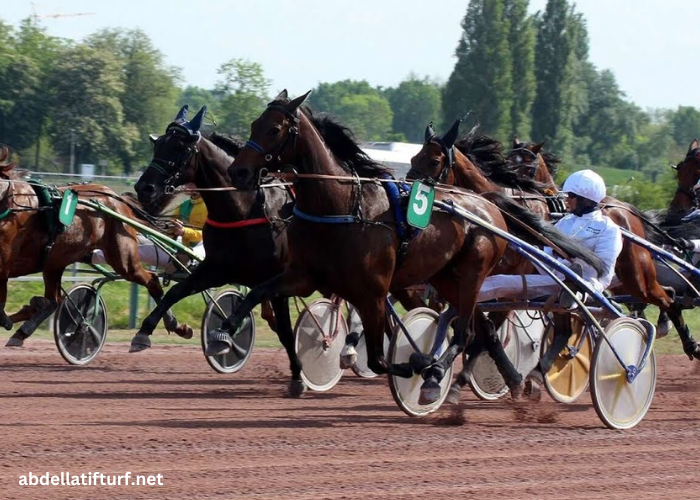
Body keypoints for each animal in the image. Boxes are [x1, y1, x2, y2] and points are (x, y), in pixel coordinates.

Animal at [0, 146, 183, 346]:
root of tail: (117, 199)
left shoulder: (4, 266)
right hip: (54, 262)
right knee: (53, 300)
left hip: (123, 259)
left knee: (152, 280)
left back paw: (170, 326)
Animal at [209, 89, 600, 402]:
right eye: (254, 124)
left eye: (274, 129)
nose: (238, 173)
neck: (343, 206)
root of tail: (487, 202)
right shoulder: (304, 277)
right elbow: (257, 291)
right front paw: (225, 333)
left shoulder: (372, 292)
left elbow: (380, 358)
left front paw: (418, 364)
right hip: (447, 278)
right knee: (480, 329)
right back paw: (502, 378)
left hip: (476, 275)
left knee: (472, 332)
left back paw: (445, 376)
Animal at [506, 139, 700, 362]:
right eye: (508, 161)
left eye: (528, 167)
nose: (509, 191)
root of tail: (626, 208)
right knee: (658, 296)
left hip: (634, 276)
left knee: (661, 298)